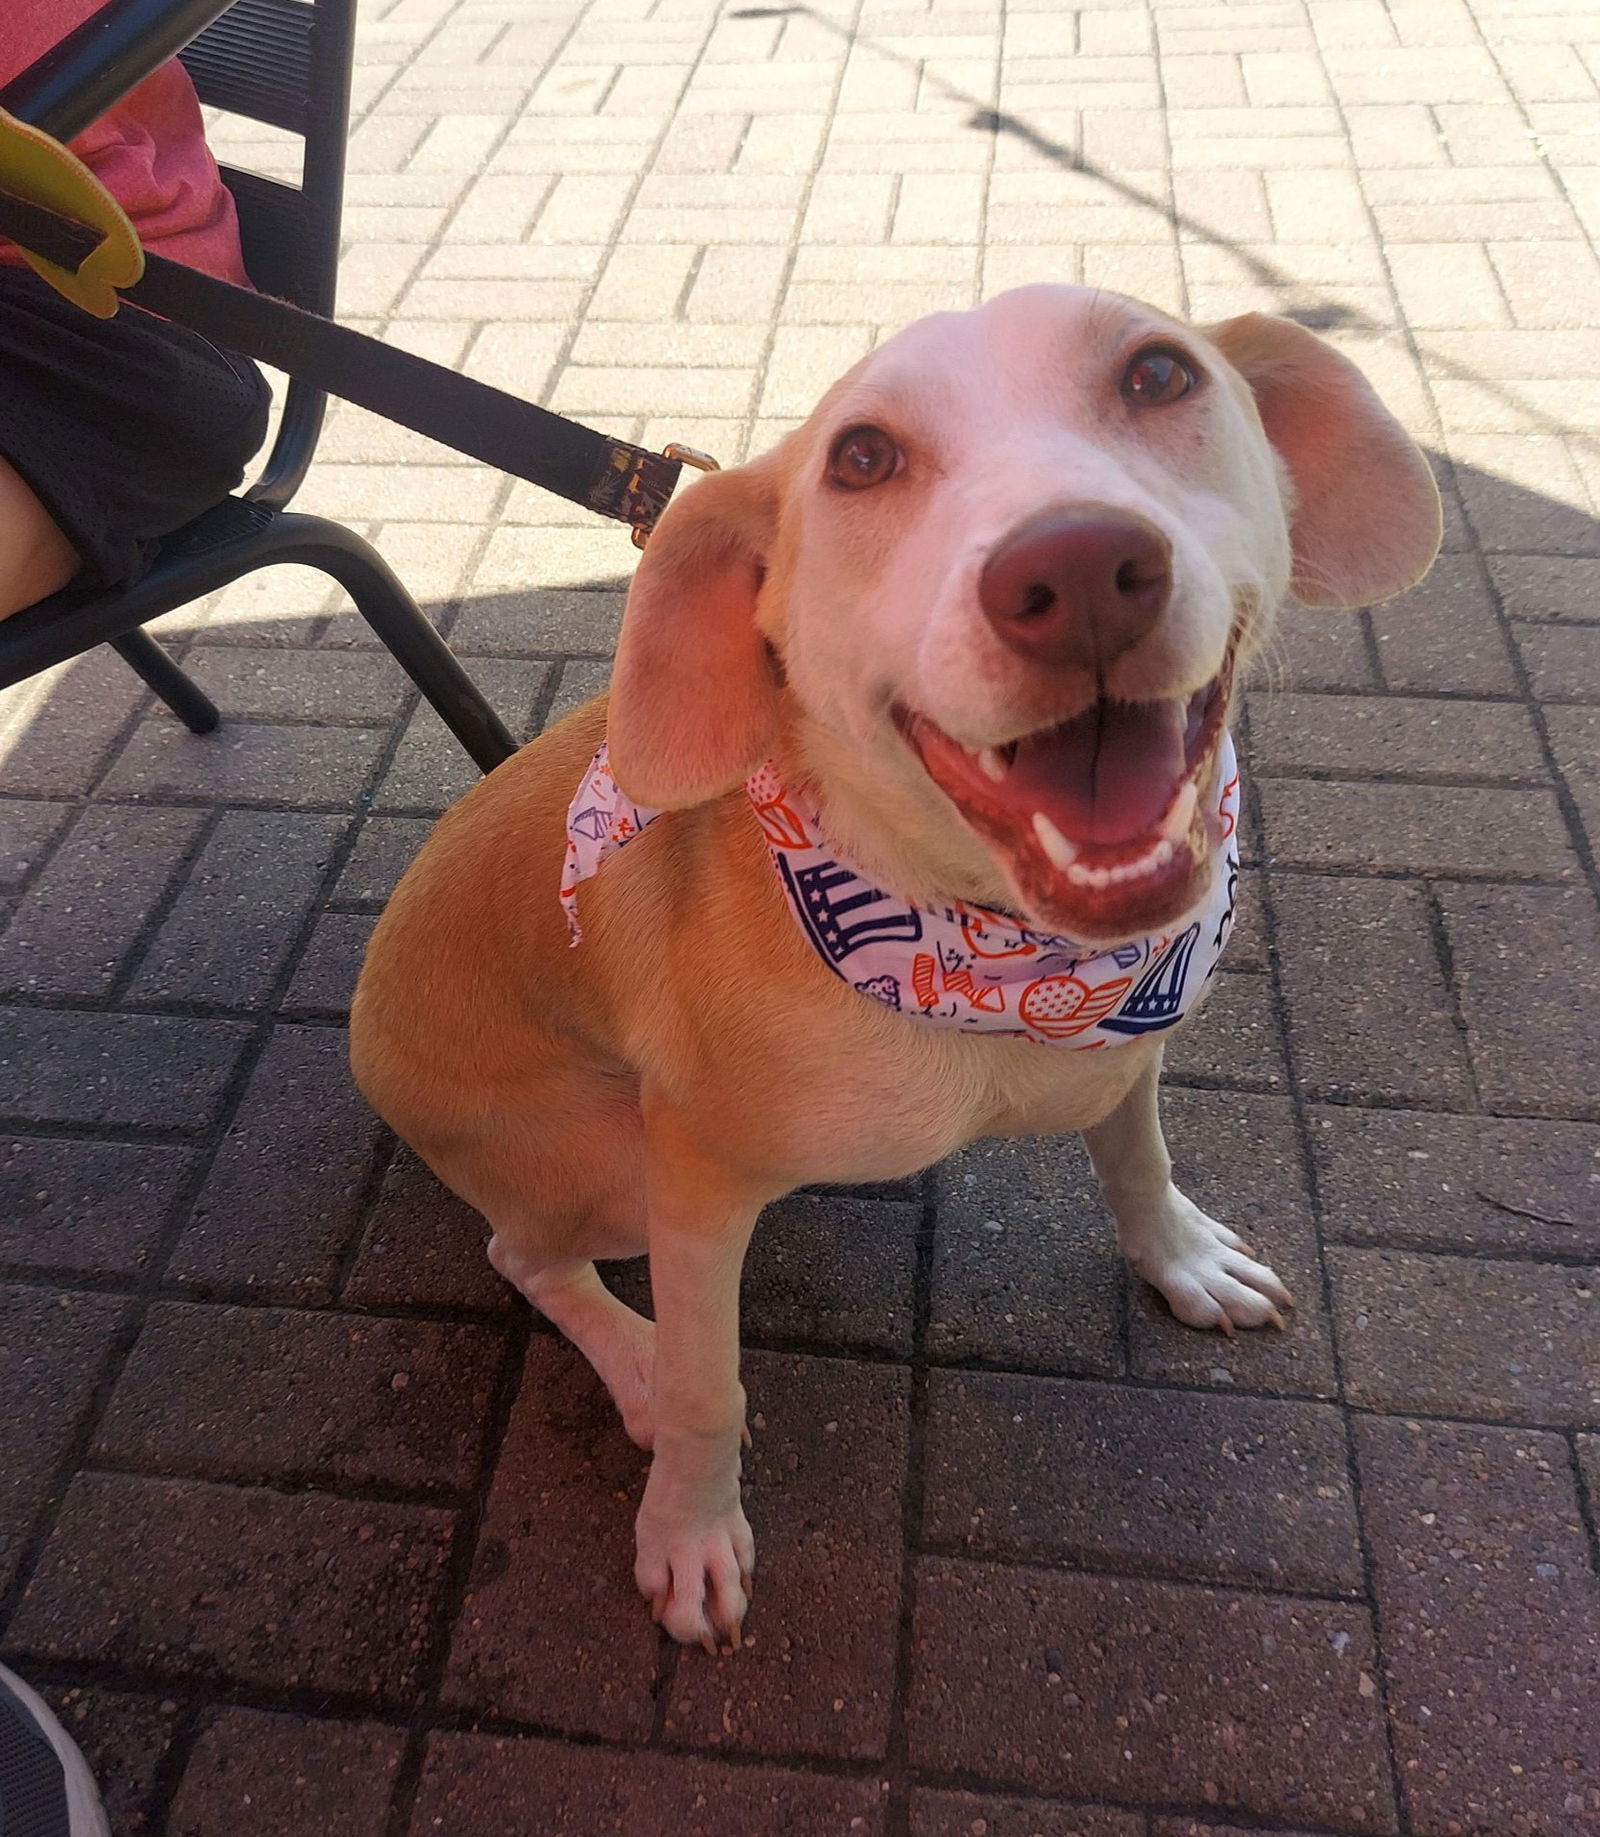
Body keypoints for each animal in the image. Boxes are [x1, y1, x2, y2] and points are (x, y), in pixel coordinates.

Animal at [356, 282, 1447, 1653]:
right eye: (861, 458)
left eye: (1158, 373)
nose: (1075, 569)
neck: (990, 953)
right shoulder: (694, 1178)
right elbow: (713, 1389)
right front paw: (689, 1528)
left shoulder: (1128, 1044)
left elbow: (1138, 1161)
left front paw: (1180, 1259)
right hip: (609, 1161)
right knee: (527, 1256)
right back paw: (638, 1360)